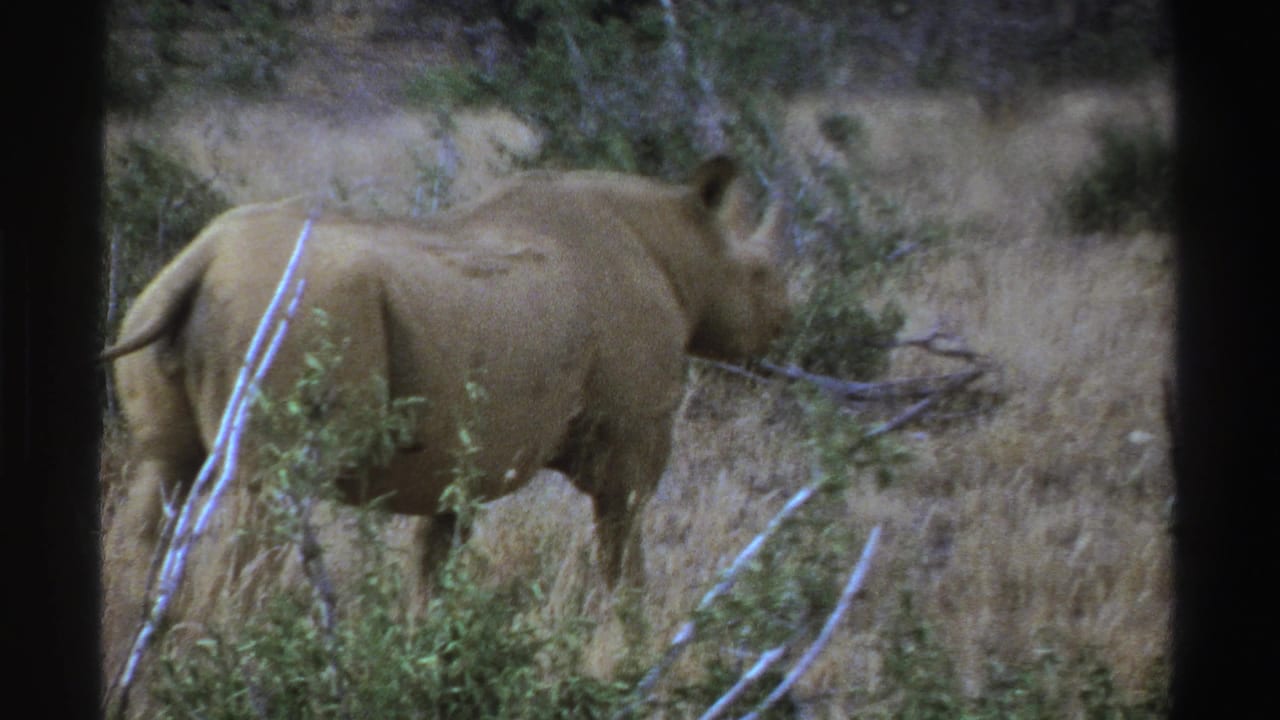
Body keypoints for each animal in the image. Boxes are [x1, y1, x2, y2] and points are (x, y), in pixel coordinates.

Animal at [101, 156, 788, 618]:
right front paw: (632, 635)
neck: (681, 247)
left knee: (162, 472)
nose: (785, 322)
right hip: (286, 316)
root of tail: (201, 261)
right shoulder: (632, 436)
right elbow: (624, 539)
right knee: (263, 499)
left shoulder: (462, 457)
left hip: (161, 302)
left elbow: (436, 559)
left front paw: (427, 643)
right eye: (760, 275)